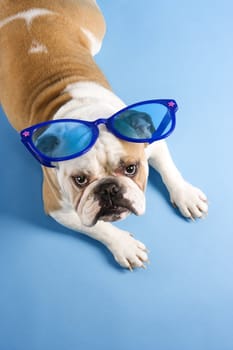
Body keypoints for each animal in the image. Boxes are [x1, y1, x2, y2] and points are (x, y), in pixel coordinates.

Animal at [0, 0, 208, 270]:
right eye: (80, 180)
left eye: (131, 168)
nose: (109, 188)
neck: (86, 114)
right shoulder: (59, 208)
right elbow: (98, 228)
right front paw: (125, 245)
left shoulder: (152, 142)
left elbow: (169, 170)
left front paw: (186, 195)